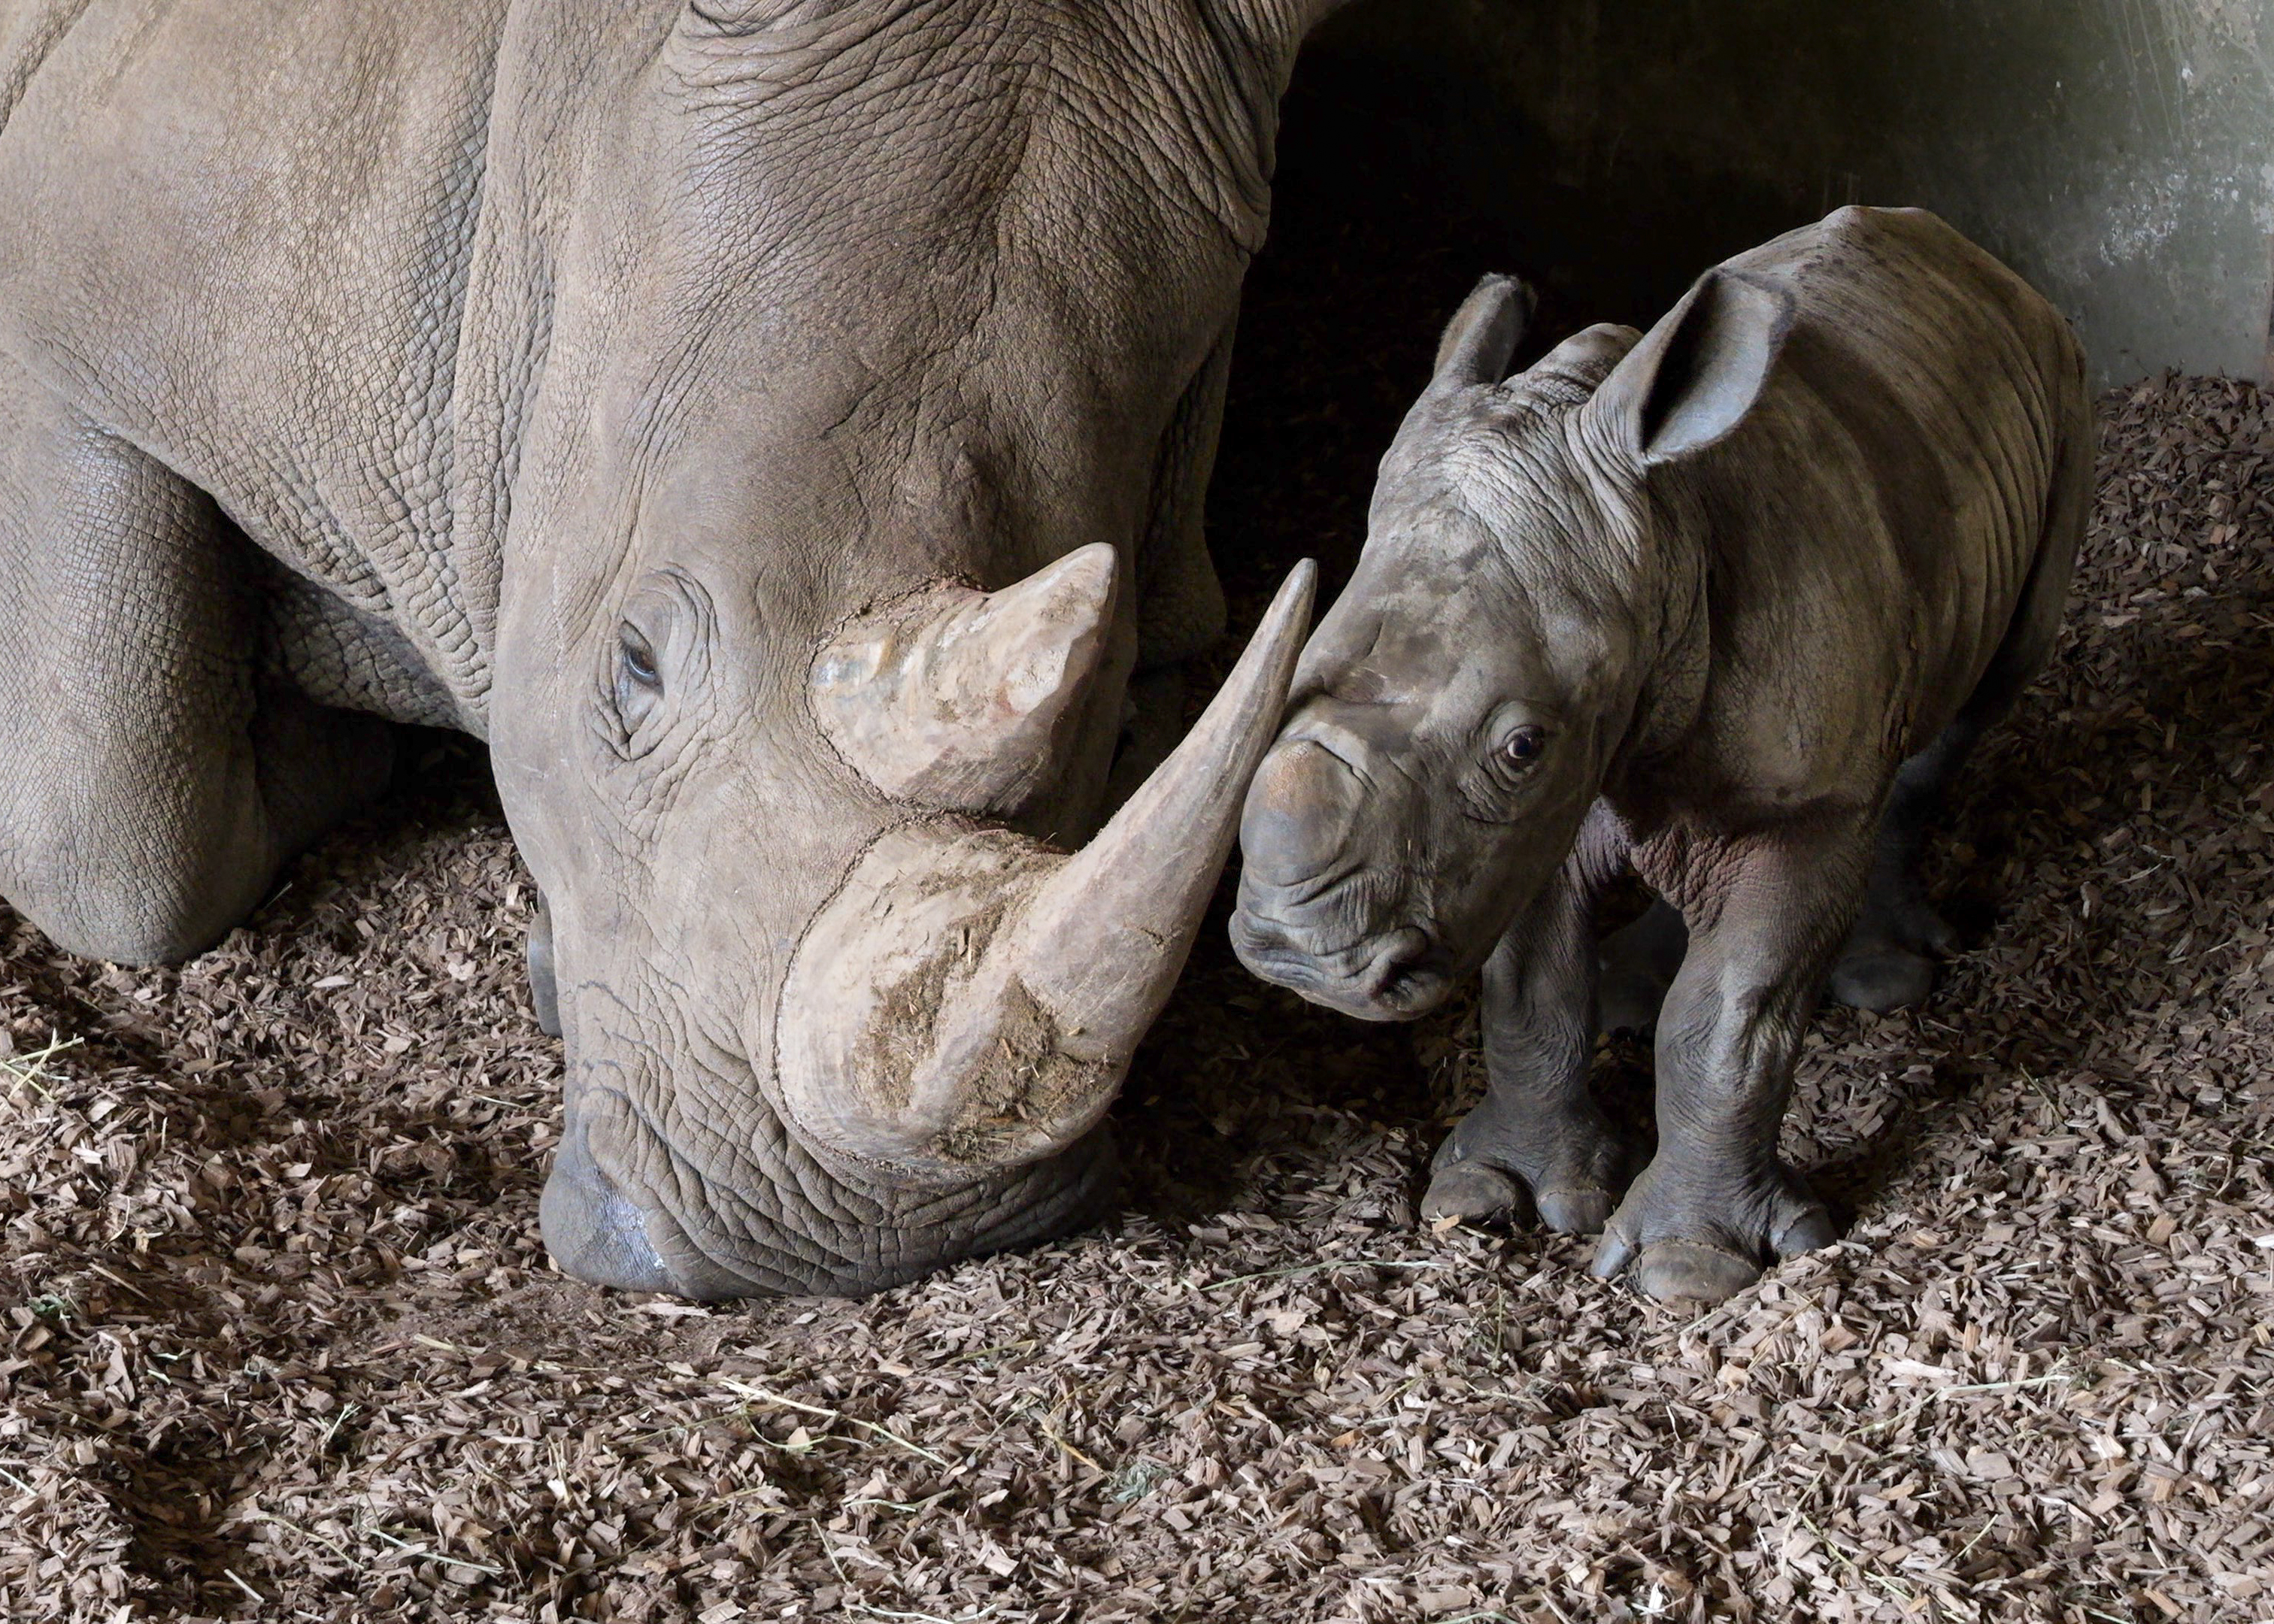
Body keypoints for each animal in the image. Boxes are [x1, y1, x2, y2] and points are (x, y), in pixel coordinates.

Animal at [0, 0, 1348, 1298]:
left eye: (1113, 724)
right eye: (635, 666)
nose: (844, 1239)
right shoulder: (70, 334)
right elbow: (109, 835)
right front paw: (344, 703)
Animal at [1230, 207, 2091, 1304]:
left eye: (1519, 744)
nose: (1297, 960)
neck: (1660, 545)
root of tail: (1981, 263)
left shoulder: (1783, 804)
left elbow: (1728, 1015)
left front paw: (1689, 1270)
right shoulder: (1532, 815)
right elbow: (1531, 986)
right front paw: (1493, 1195)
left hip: (2062, 394)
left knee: (1982, 693)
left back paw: (1882, 977)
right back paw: (1631, 988)